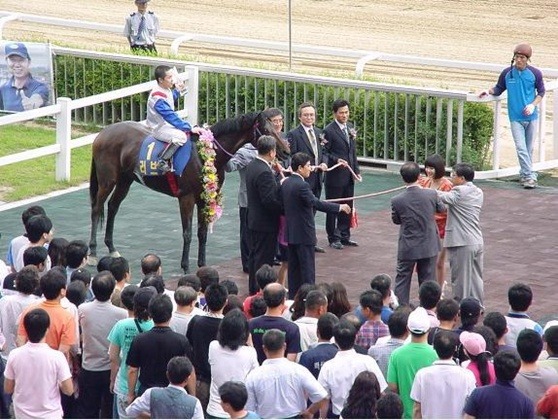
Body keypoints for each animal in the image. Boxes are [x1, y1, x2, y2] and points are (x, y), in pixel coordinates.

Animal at [89, 112, 288, 272]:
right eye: (267, 130)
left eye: (276, 127)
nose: (286, 150)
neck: (203, 155)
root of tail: (102, 133)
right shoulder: (186, 198)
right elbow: (188, 233)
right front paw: (185, 267)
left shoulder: (204, 198)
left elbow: (202, 233)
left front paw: (202, 265)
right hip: (107, 181)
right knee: (97, 209)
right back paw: (92, 253)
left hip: (125, 180)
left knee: (113, 206)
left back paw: (112, 249)